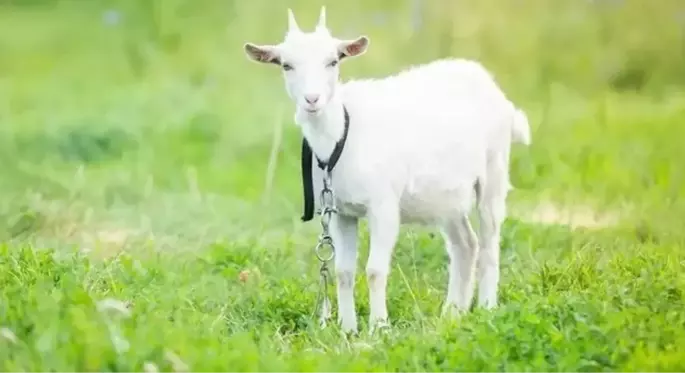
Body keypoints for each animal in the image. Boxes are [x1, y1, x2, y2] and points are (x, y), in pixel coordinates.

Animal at [243, 6, 532, 332]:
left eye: (333, 61)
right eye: (286, 65)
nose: (312, 99)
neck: (342, 134)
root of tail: (494, 90)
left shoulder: (383, 206)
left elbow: (375, 270)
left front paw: (379, 327)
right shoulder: (342, 212)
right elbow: (343, 271)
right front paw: (348, 329)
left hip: (494, 172)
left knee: (489, 242)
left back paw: (486, 308)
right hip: (447, 197)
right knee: (465, 244)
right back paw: (453, 313)